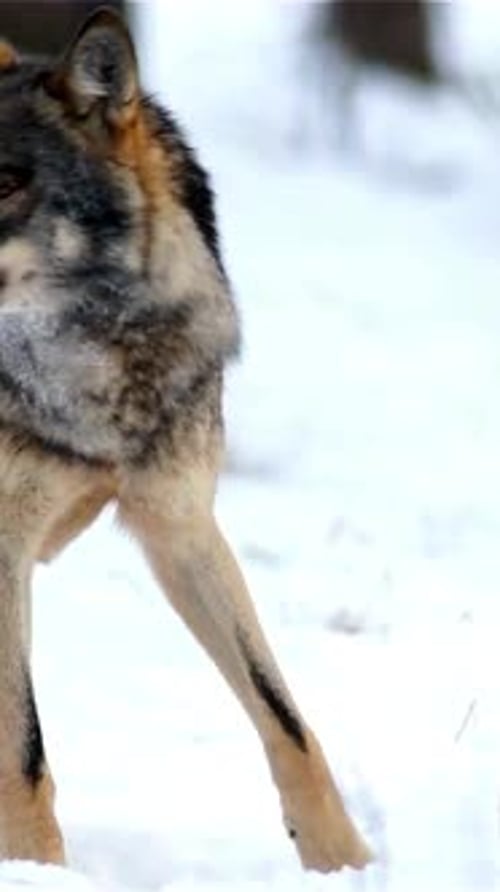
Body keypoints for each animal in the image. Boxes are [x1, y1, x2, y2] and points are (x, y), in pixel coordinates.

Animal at [0, 8, 372, 873]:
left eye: (3, 181)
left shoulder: (180, 524)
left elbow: (287, 720)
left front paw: (346, 864)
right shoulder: (5, 544)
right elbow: (27, 752)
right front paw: (37, 871)